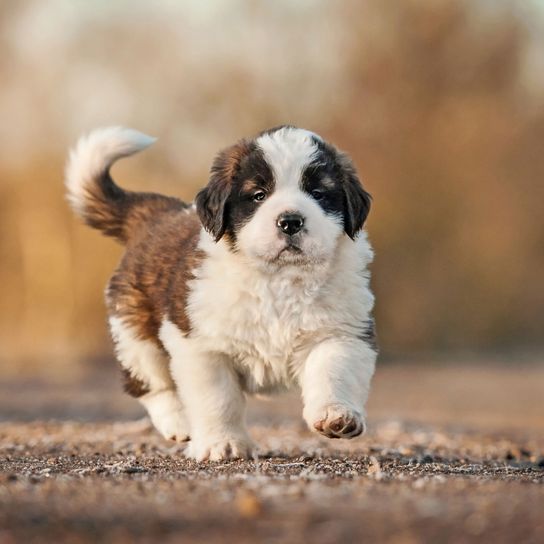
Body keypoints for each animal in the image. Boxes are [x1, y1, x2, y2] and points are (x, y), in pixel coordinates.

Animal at [66, 125, 376, 462]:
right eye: (259, 195)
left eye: (318, 194)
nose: (290, 221)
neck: (279, 279)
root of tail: (158, 214)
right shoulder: (202, 346)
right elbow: (217, 399)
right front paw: (222, 443)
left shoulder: (342, 332)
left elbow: (333, 370)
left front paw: (336, 416)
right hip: (135, 333)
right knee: (150, 383)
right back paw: (179, 422)